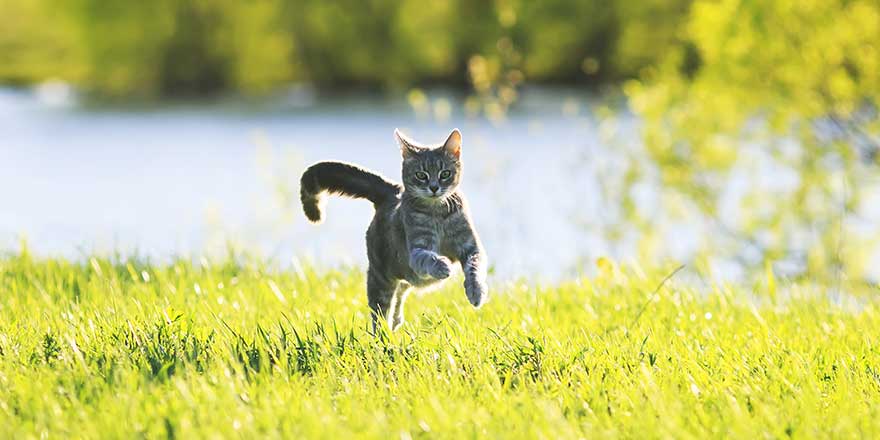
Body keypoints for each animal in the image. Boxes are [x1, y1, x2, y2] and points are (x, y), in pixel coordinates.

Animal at [300, 129, 488, 332]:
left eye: (445, 173)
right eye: (421, 175)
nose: (434, 187)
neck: (437, 213)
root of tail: (392, 192)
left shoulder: (471, 246)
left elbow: (475, 267)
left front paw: (476, 292)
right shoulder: (418, 249)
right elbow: (428, 257)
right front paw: (441, 265)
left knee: (400, 293)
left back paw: (397, 320)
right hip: (379, 277)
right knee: (380, 314)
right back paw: (384, 335)